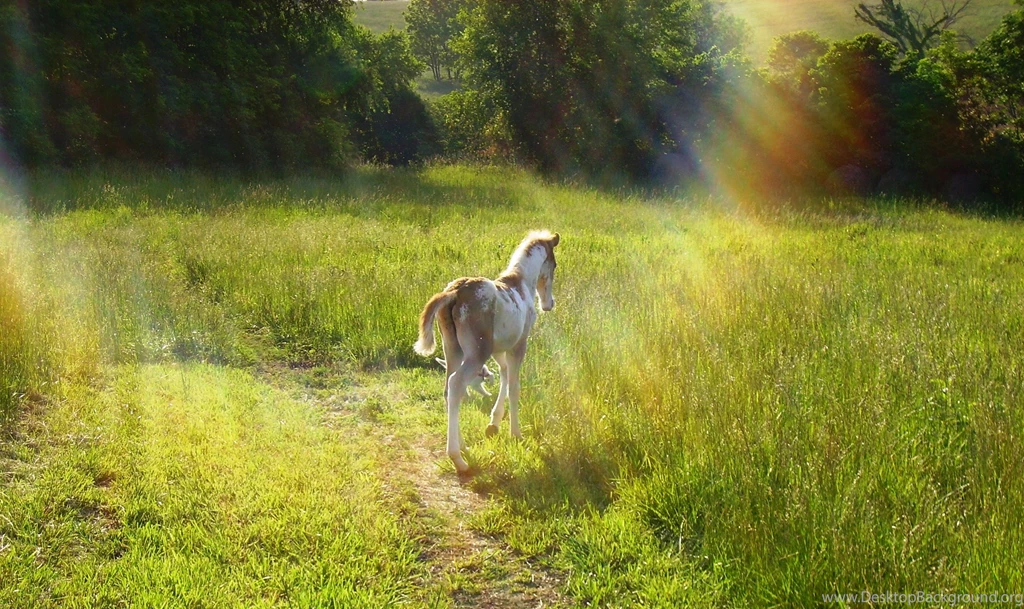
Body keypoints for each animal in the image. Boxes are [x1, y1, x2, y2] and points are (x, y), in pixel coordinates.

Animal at [413, 230, 560, 475]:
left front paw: (494, 423)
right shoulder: (519, 345)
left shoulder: (500, 349)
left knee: (449, 389)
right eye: (554, 265)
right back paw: (458, 459)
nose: (549, 304)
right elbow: (514, 387)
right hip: (477, 352)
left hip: (453, 350)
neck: (521, 285)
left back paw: (463, 446)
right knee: (456, 384)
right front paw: (516, 434)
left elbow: (503, 374)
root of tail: (454, 292)